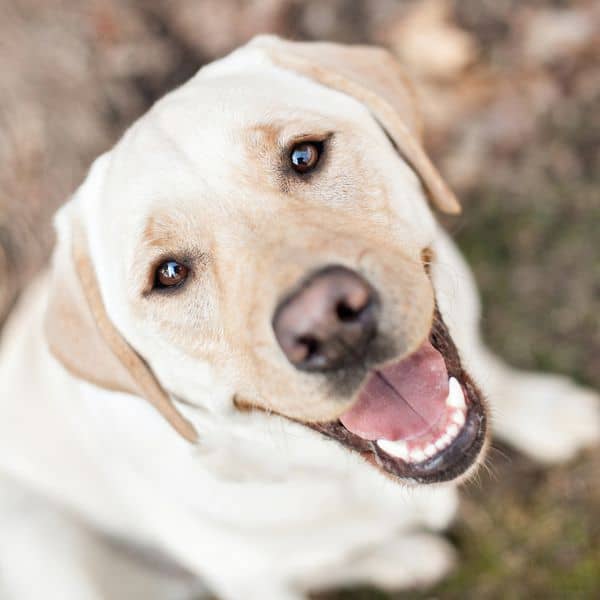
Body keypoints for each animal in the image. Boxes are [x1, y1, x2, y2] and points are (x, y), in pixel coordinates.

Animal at [1, 37, 600, 600]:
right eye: (169, 273)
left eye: (305, 156)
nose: (327, 324)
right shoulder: (250, 579)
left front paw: (548, 413)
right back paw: (404, 557)